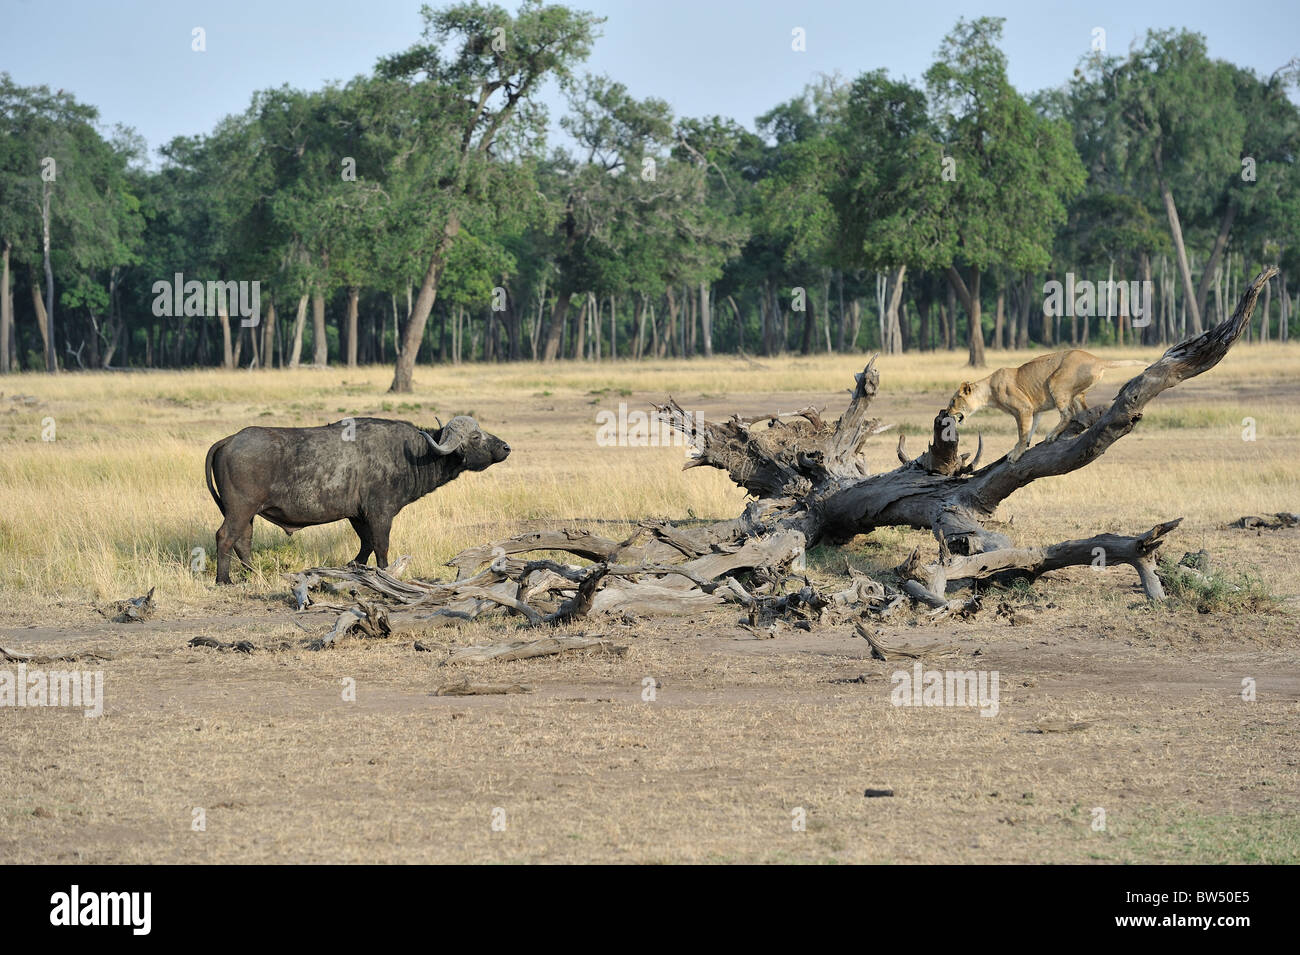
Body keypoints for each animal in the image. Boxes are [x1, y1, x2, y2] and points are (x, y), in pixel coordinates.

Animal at [946, 350, 1146, 462]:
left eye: (953, 400)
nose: (947, 411)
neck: (988, 392)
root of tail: (1096, 359)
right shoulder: (1035, 411)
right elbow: (1029, 431)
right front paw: (1020, 448)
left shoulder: (1024, 408)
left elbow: (1022, 432)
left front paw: (1016, 454)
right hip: (1076, 393)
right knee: (1084, 412)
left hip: (1057, 382)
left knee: (1067, 414)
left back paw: (1052, 435)